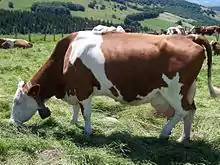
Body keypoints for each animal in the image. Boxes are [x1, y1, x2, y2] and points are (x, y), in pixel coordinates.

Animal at [9, 29, 219, 144]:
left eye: (17, 101)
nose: (11, 122)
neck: (67, 56)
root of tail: (190, 37)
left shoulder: (84, 89)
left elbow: (86, 112)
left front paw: (87, 132)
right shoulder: (74, 89)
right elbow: (75, 108)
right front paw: (73, 122)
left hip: (175, 91)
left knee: (182, 111)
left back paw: (164, 133)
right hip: (188, 90)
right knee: (191, 111)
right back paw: (184, 138)